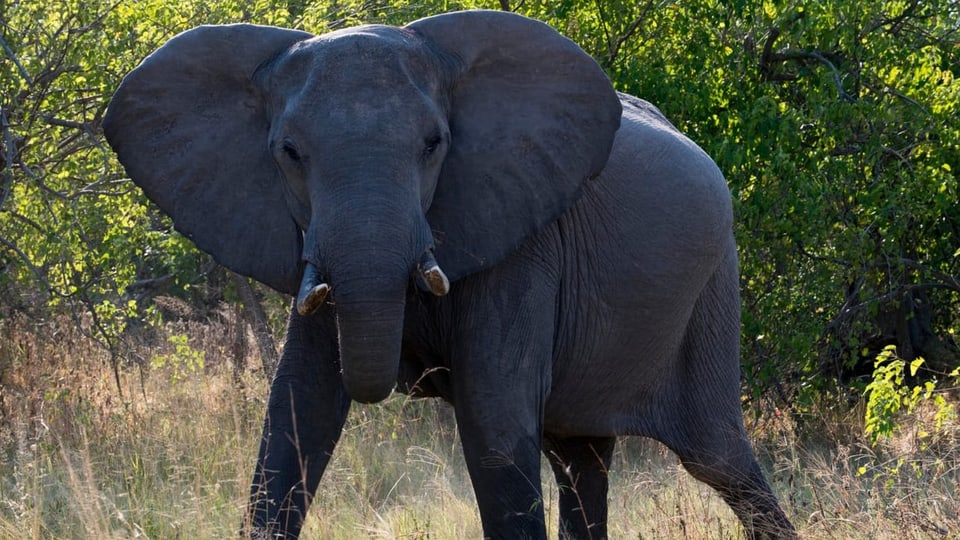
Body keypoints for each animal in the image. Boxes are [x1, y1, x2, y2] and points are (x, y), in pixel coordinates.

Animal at [103, 8, 796, 540]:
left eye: (434, 145)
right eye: (289, 153)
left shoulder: (523, 241)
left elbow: (492, 428)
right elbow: (294, 414)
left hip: (712, 289)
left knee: (718, 460)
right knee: (579, 460)